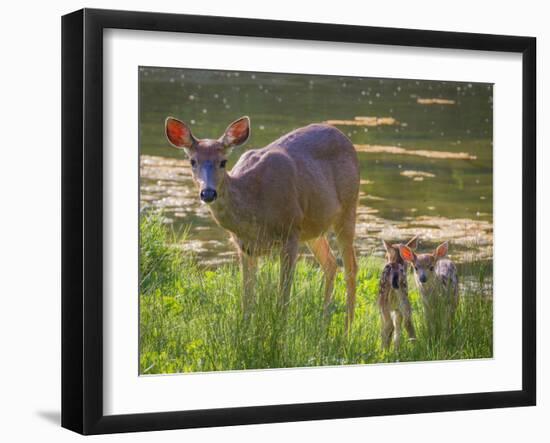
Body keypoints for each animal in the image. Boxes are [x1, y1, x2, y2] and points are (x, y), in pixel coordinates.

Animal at [164, 116, 362, 332]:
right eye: (193, 161)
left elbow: (283, 295)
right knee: (331, 264)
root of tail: (345, 139)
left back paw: (348, 329)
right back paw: (323, 324)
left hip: (348, 207)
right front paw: (245, 328)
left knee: (351, 267)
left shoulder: (290, 231)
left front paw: (280, 331)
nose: (208, 193)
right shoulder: (244, 246)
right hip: (314, 228)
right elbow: (247, 296)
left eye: (223, 162)